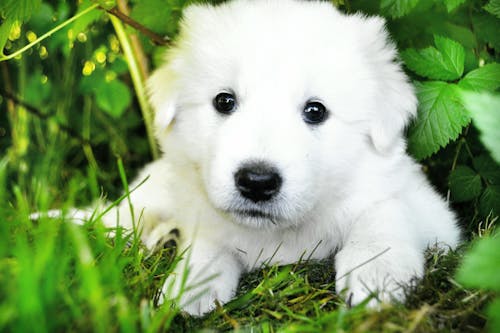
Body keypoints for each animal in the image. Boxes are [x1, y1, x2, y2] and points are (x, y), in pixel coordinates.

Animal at [99, 0, 458, 316]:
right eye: (224, 101)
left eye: (315, 111)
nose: (257, 182)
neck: (283, 230)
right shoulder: (207, 217)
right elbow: (209, 245)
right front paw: (191, 284)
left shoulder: (428, 212)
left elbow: (384, 214)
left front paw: (377, 274)